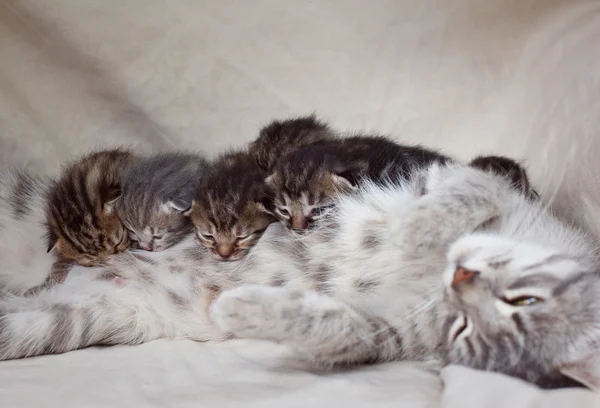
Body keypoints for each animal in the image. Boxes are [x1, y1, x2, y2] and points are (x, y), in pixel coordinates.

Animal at [1, 161, 600, 390]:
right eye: (525, 300)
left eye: (464, 331)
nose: (457, 279)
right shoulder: (470, 176)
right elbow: (464, 192)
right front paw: (415, 229)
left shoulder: (395, 326)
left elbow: (343, 328)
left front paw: (242, 307)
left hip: (50, 321)